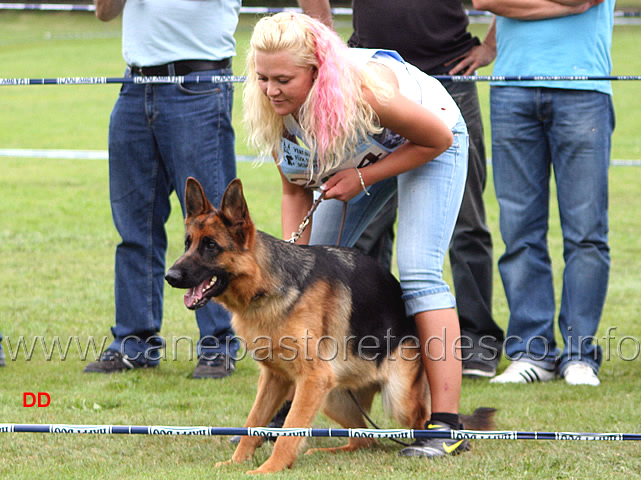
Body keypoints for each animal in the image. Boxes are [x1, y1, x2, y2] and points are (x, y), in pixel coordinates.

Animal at [166, 176, 496, 472]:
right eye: (187, 244)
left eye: (211, 246)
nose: (170, 276)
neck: (267, 286)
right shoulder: (276, 379)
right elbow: (254, 423)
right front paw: (236, 462)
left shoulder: (312, 379)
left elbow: (290, 429)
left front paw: (269, 468)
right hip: (333, 398)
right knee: (364, 439)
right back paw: (328, 450)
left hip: (397, 397)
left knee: (415, 424)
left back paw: (432, 442)